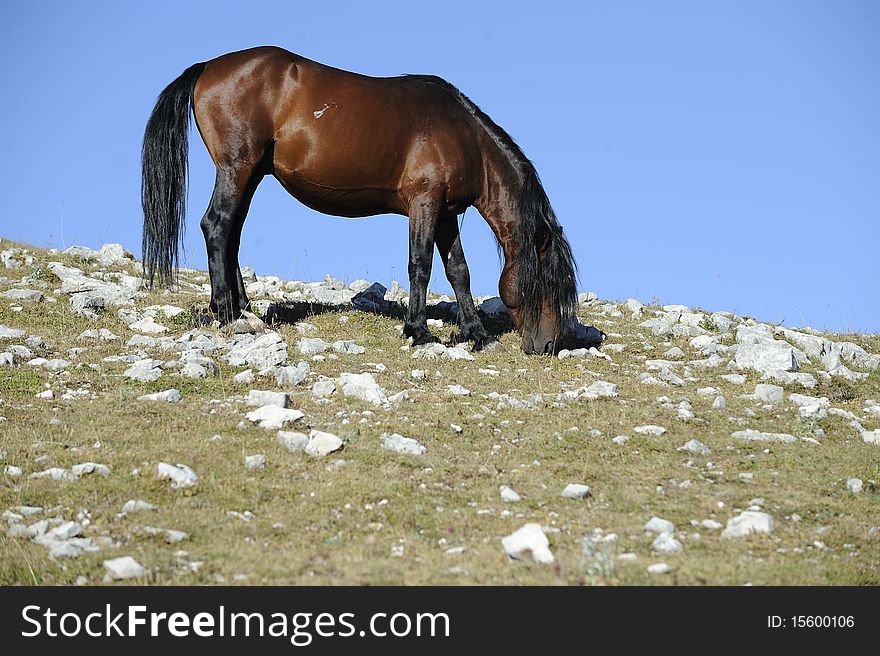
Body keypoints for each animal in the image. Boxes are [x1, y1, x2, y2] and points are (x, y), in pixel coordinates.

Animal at [143, 46, 576, 354]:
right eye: (549, 283)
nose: (548, 346)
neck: (464, 136)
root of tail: (208, 66)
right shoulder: (424, 203)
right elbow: (420, 265)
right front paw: (418, 332)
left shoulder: (447, 212)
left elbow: (459, 271)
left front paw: (476, 334)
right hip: (237, 168)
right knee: (217, 225)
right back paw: (228, 312)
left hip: (250, 175)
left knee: (231, 232)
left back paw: (245, 307)